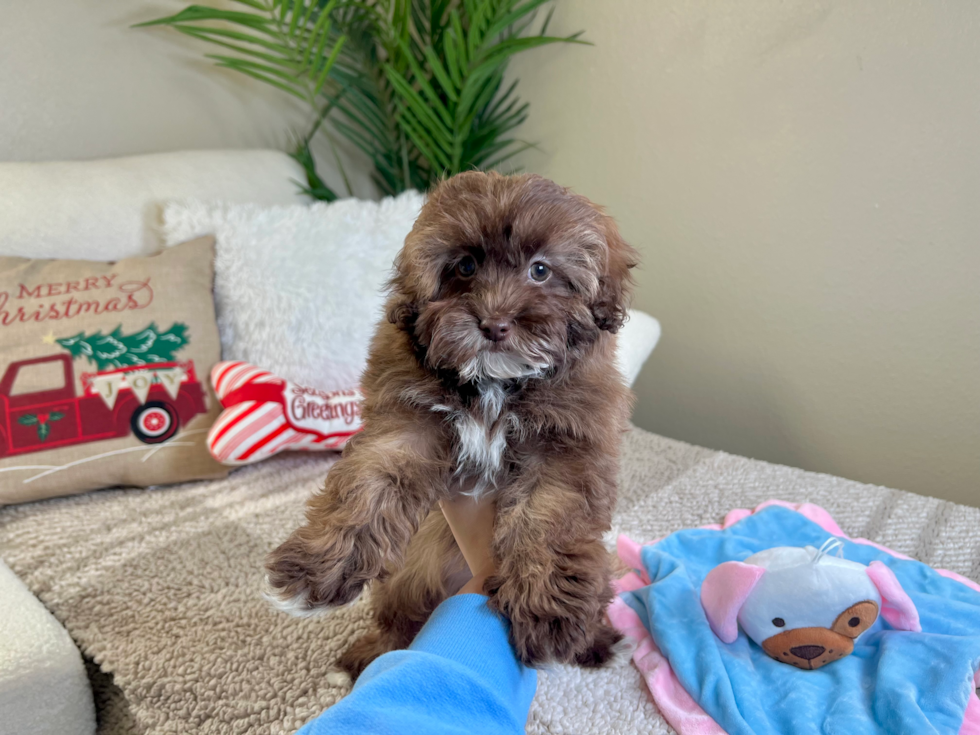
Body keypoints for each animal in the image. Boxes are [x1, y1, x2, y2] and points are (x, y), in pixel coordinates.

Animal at [264, 171, 640, 680]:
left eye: (541, 271)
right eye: (464, 266)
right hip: (409, 577)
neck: (494, 384)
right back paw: (374, 650)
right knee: (400, 619)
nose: (495, 324)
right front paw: (318, 566)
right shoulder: (407, 420)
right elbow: (371, 481)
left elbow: (549, 515)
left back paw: (596, 640)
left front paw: (545, 608)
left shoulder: (568, 440)